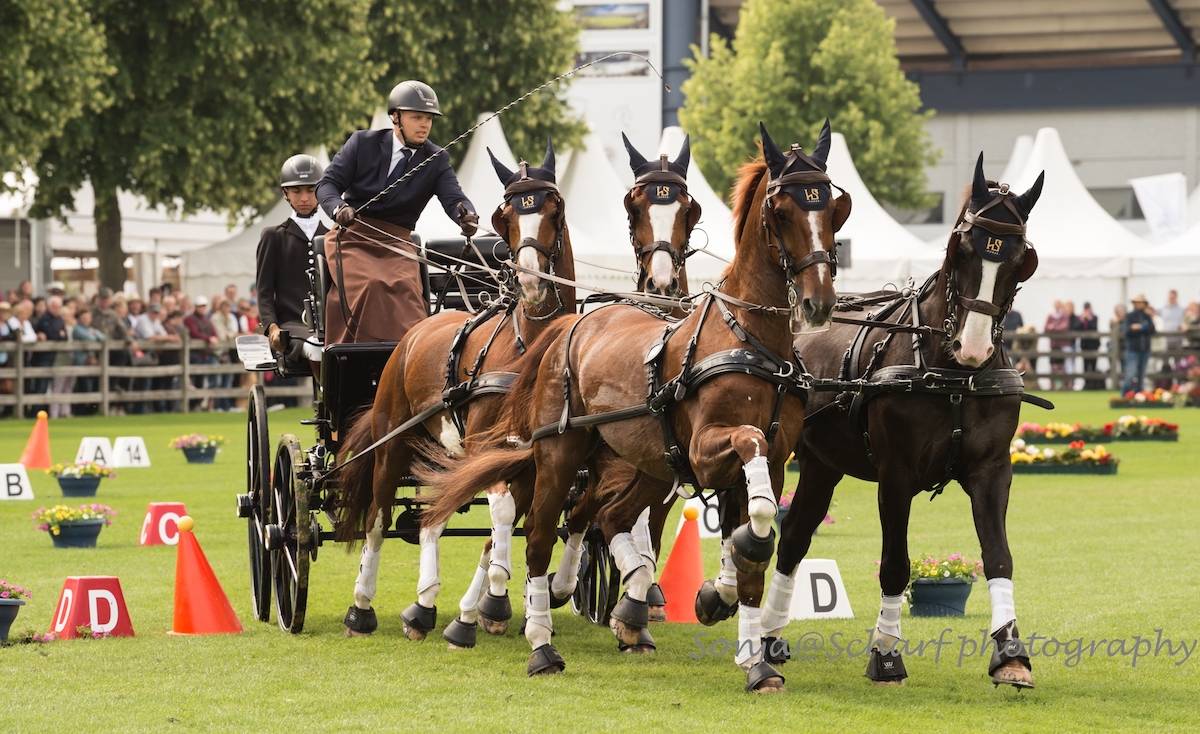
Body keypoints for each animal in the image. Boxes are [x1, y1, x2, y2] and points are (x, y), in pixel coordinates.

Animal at [420, 121, 849, 692]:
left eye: (831, 207)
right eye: (782, 211)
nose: (819, 301)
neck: (751, 339)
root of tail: (569, 325)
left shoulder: (774, 462)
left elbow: (752, 545)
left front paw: (748, 648)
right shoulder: (707, 449)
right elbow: (748, 458)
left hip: (646, 464)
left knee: (608, 516)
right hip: (558, 455)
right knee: (535, 536)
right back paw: (537, 644)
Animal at [761, 153, 1046, 689]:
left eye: (1021, 258)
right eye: (961, 250)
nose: (973, 347)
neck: (950, 375)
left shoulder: (992, 471)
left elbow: (998, 555)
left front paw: (1011, 653)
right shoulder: (895, 476)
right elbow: (895, 564)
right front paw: (887, 654)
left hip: (822, 465)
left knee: (793, 539)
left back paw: (769, 636)